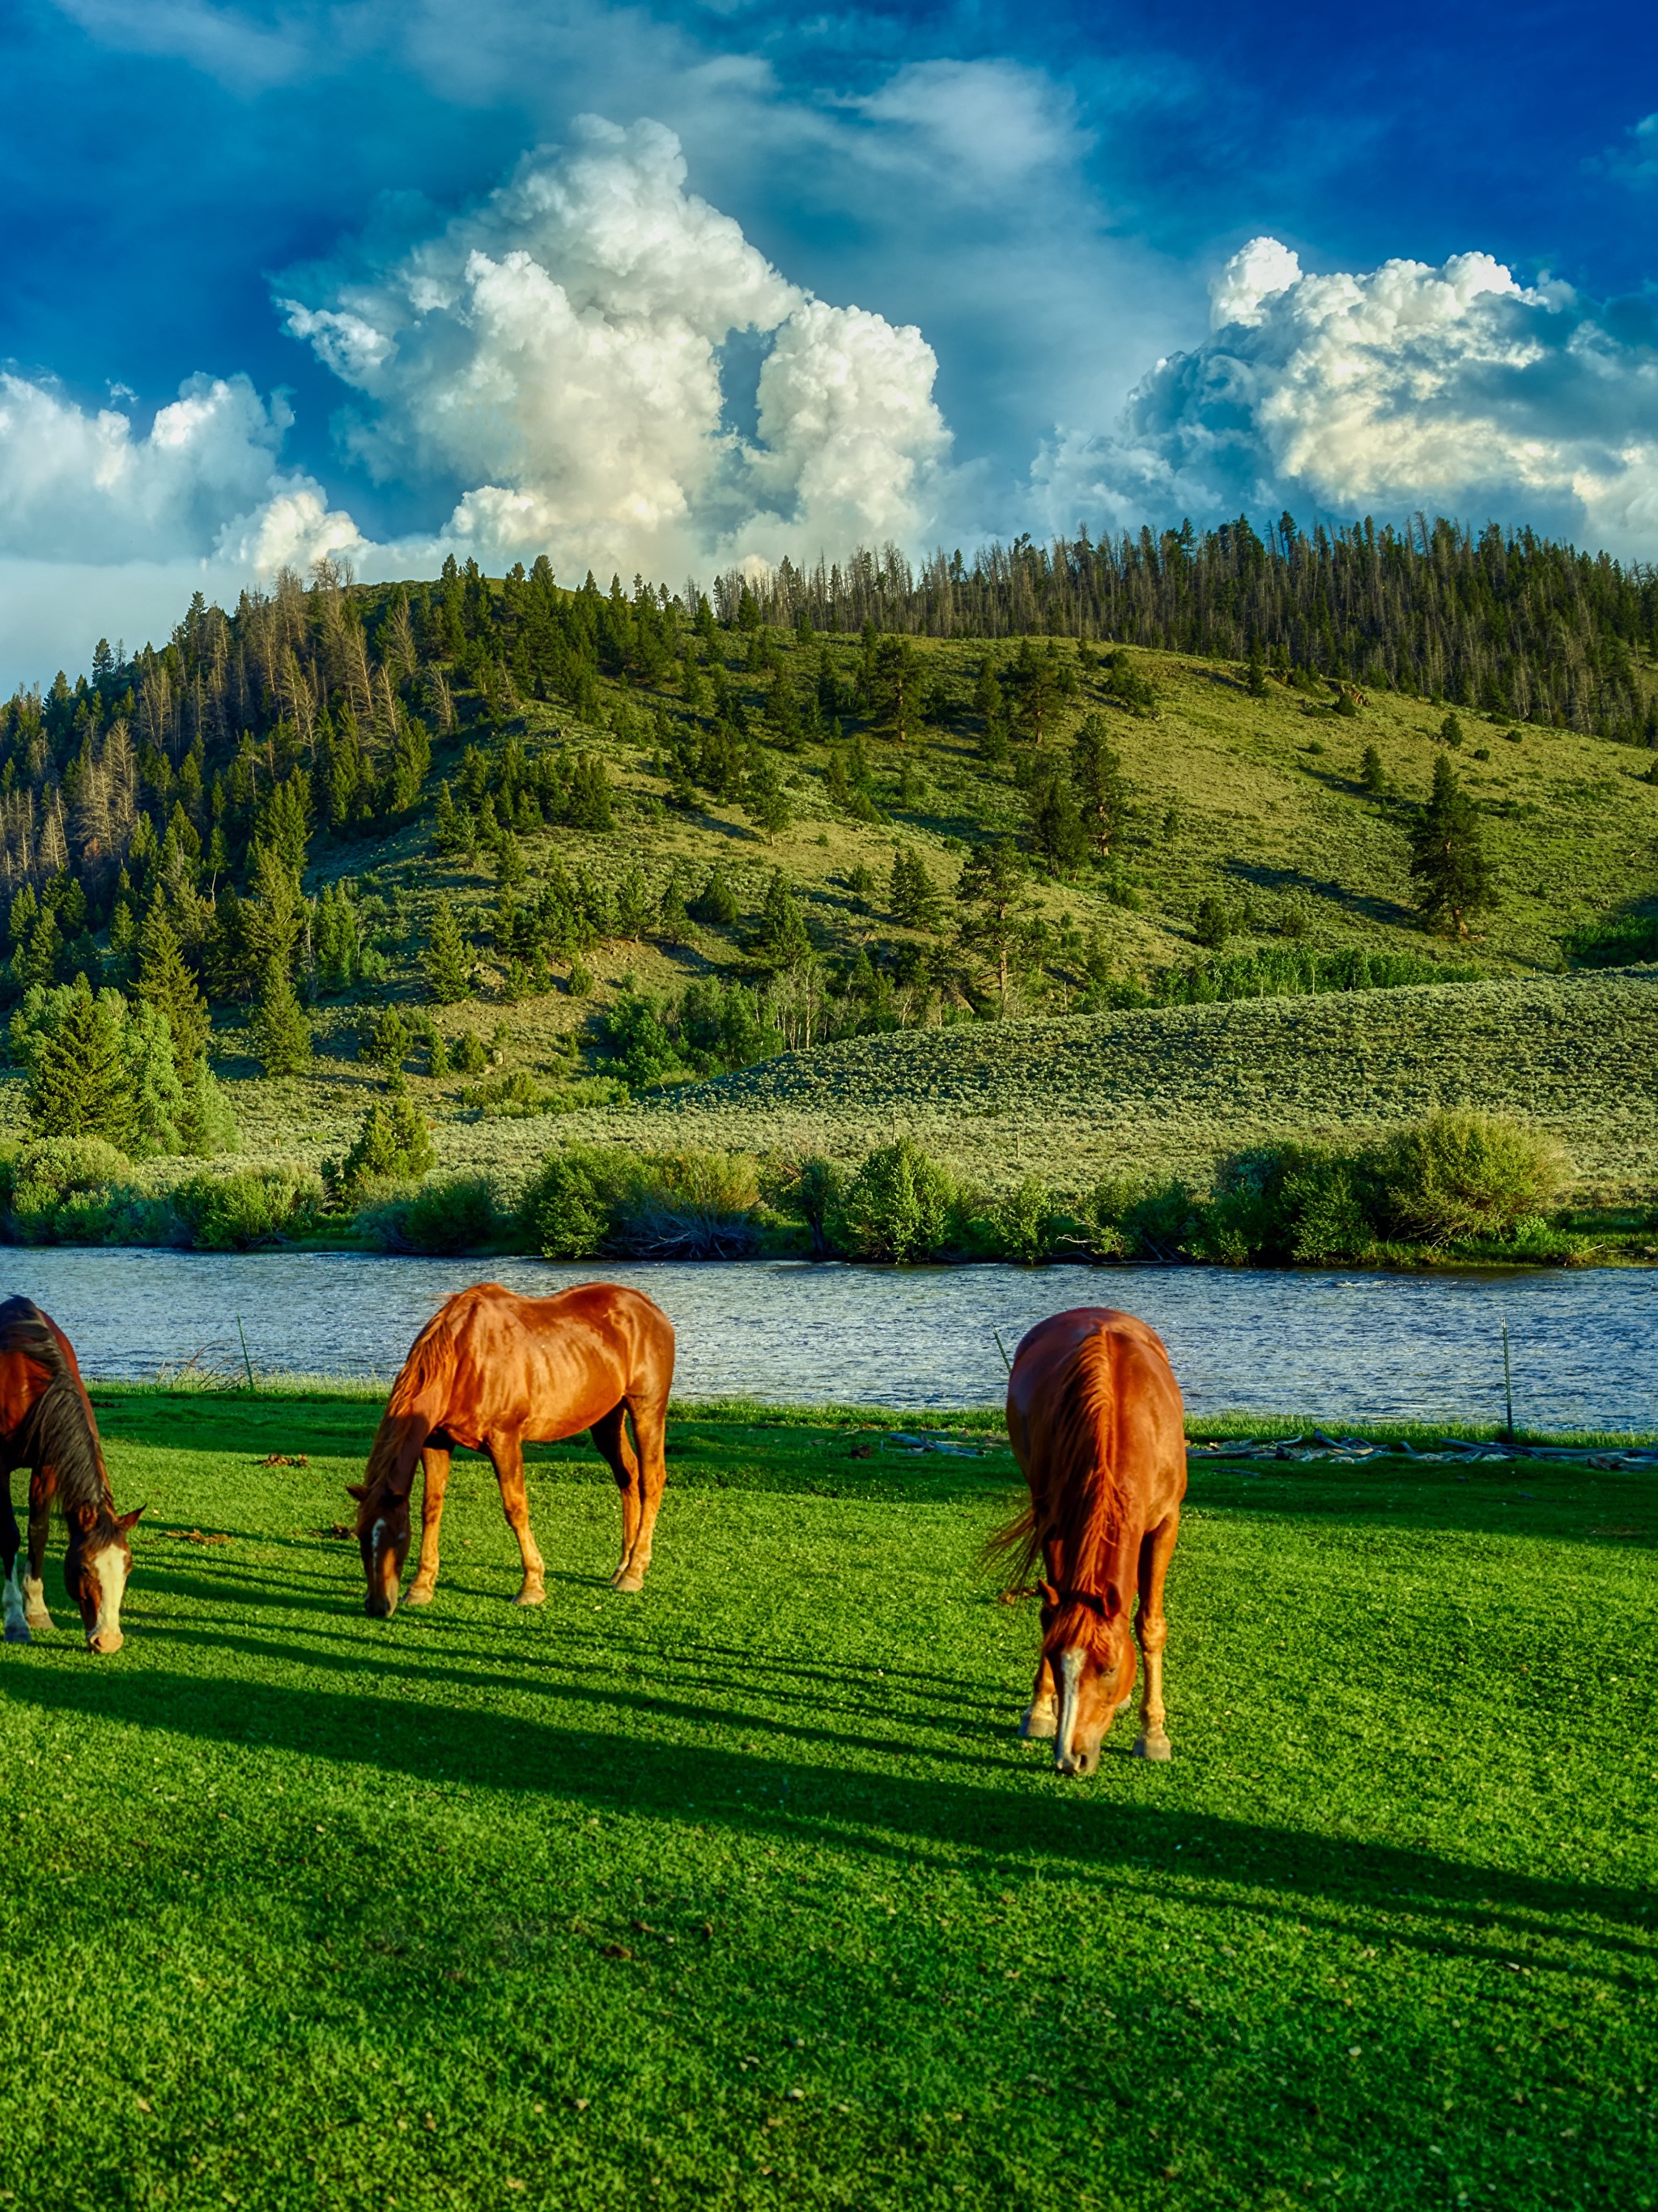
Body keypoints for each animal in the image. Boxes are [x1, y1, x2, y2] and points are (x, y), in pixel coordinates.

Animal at [0, 1291, 144, 1663]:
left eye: (127, 1568)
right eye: (83, 1569)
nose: (108, 1640)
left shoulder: (49, 1465)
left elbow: (38, 1532)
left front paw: (37, 1611)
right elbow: (9, 1536)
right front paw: (16, 1620)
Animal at [351, 1283, 676, 1627]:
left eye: (399, 1538)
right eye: (360, 1536)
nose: (377, 1605)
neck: (463, 1357)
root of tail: (648, 1307)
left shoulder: (504, 1439)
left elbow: (515, 1509)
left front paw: (531, 1584)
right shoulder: (435, 1441)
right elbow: (432, 1509)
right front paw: (421, 1586)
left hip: (647, 1410)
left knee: (651, 1479)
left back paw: (635, 1571)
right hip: (607, 1417)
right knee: (628, 1475)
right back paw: (622, 1565)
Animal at [994, 1300, 1184, 1769]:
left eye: (1110, 1668)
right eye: (1054, 1655)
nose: (1070, 1758)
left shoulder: (1165, 1523)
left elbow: (1150, 1626)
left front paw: (1153, 1733)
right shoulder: (1053, 1520)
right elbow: (1051, 1614)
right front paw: (1041, 1709)